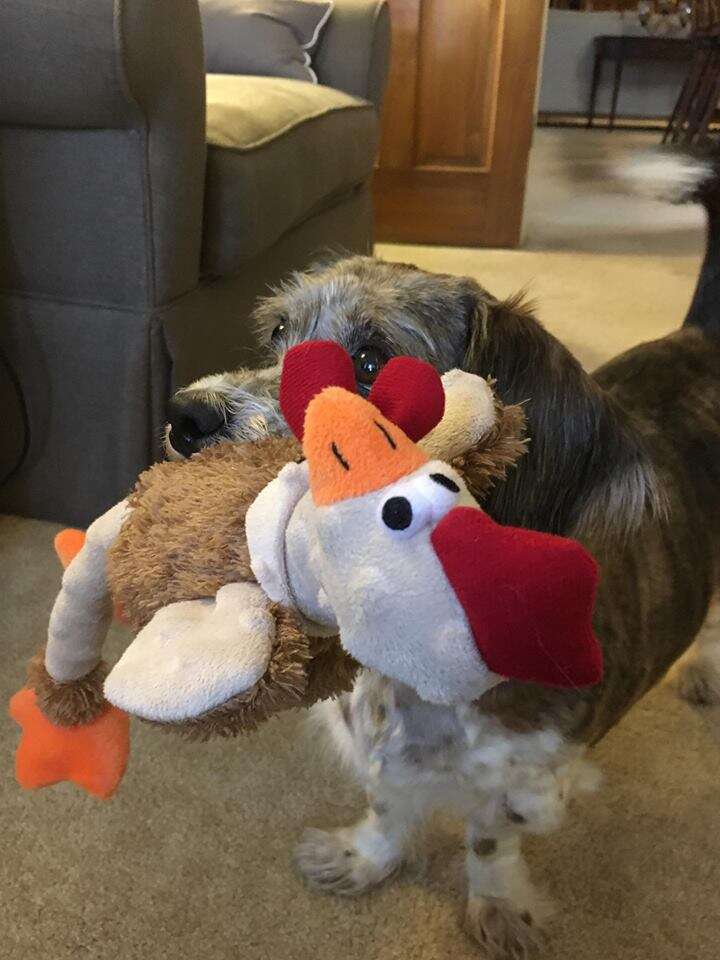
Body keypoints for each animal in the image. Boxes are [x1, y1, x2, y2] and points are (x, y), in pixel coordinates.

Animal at [165, 158, 720, 952]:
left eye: (371, 361)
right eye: (278, 332)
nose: (183, 416)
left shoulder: (528, 777)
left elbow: (490, 838)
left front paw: (499, 909)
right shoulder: (376, 744)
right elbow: (388, 802)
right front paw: (365, 859)